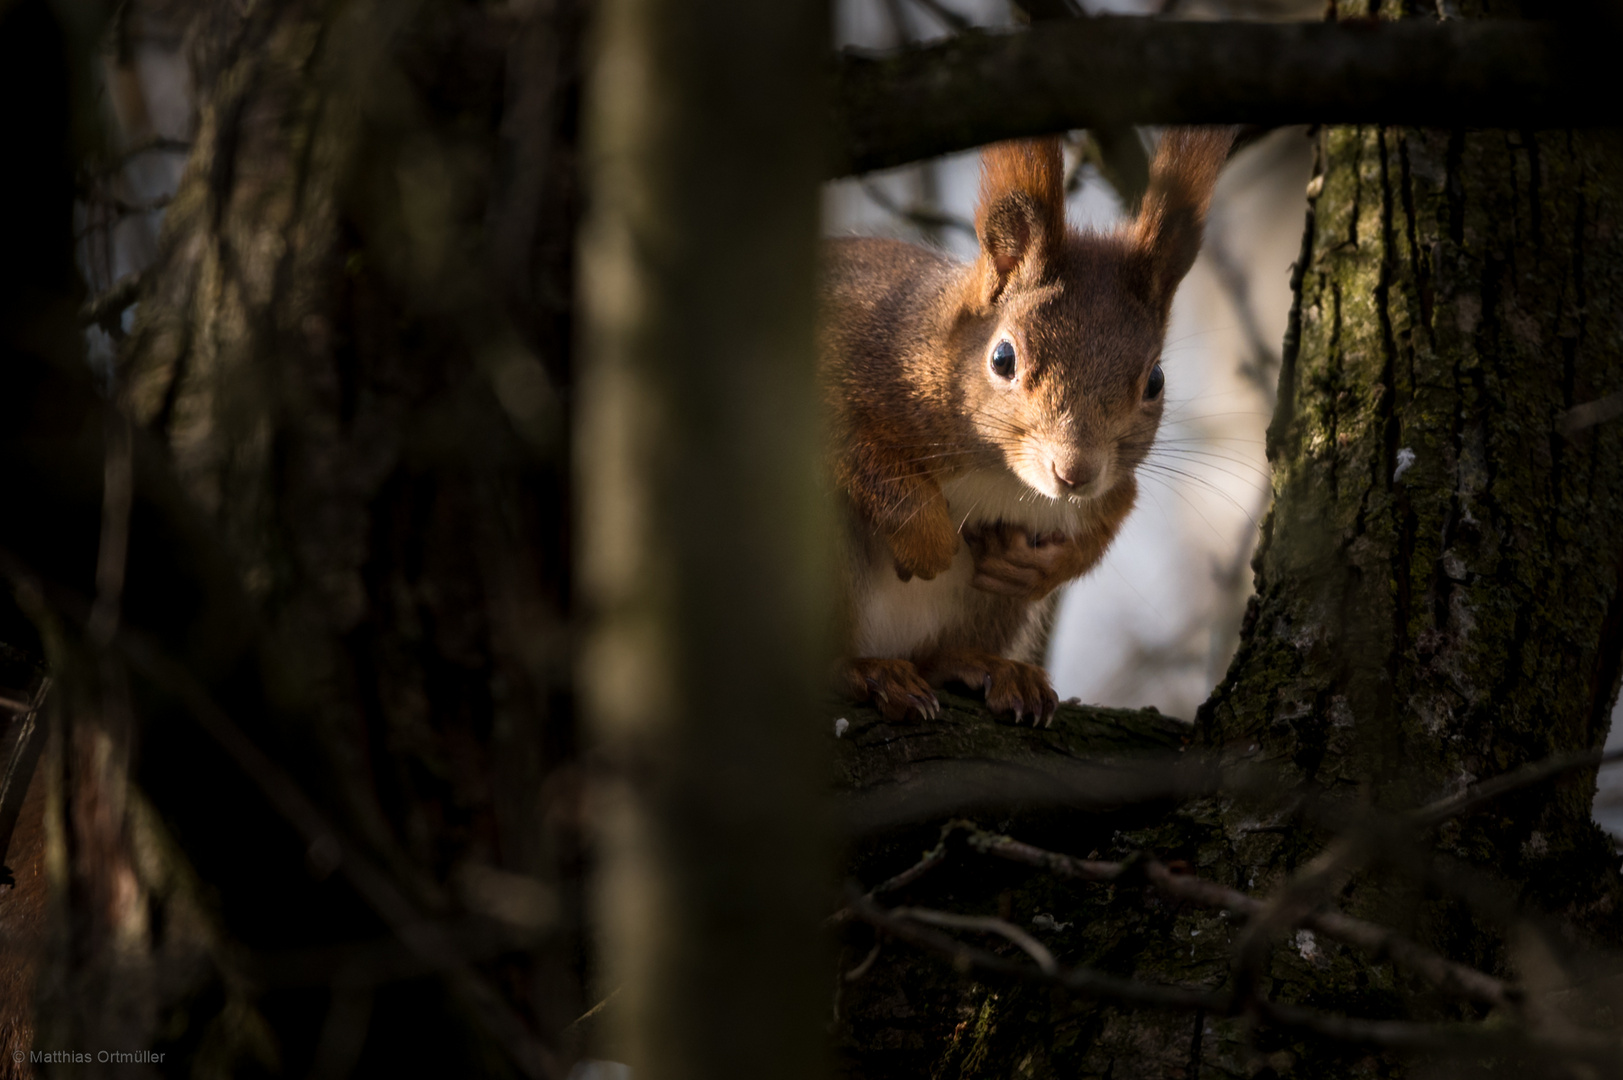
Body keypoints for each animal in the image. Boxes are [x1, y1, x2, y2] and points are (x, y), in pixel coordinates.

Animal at [824, 132, 1226, 724]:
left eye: (1155, 380)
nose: (1075, 473)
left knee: (936, 657)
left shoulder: (1112, 488)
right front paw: (928, 539)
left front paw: (1042, 569)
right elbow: (849, 444)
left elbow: (1108, 518)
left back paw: (983, 666)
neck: (999, 472)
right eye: (1003, 358)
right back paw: (865, 670)